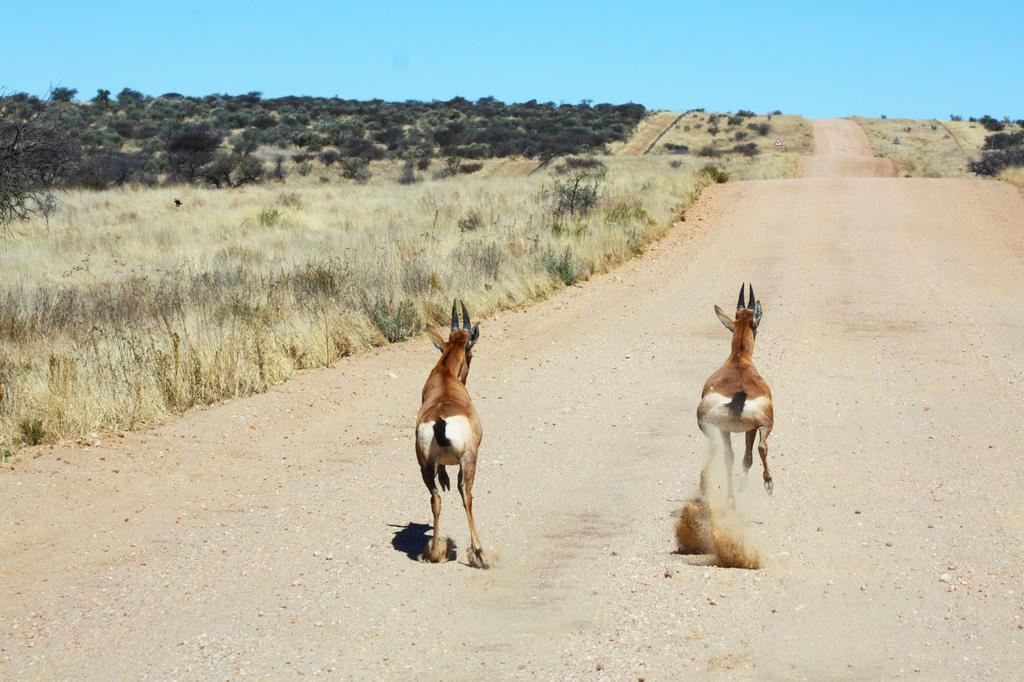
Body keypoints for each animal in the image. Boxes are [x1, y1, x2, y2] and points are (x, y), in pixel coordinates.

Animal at [415, 301, 491, 565]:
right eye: (471, 353)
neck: (445, 376)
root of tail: (441, 423)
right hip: (469, 461)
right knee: (466, 495)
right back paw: (479, 552)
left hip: (424, 465)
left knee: (435, 498)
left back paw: (435, 552)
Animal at [696, 280, 774, 499]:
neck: (738, 360)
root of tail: (739, 397)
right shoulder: (752, 429)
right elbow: (748, 457)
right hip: (763, 425)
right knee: (761, 447)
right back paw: (768, 483)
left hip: (717, 427)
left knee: (722, 453)